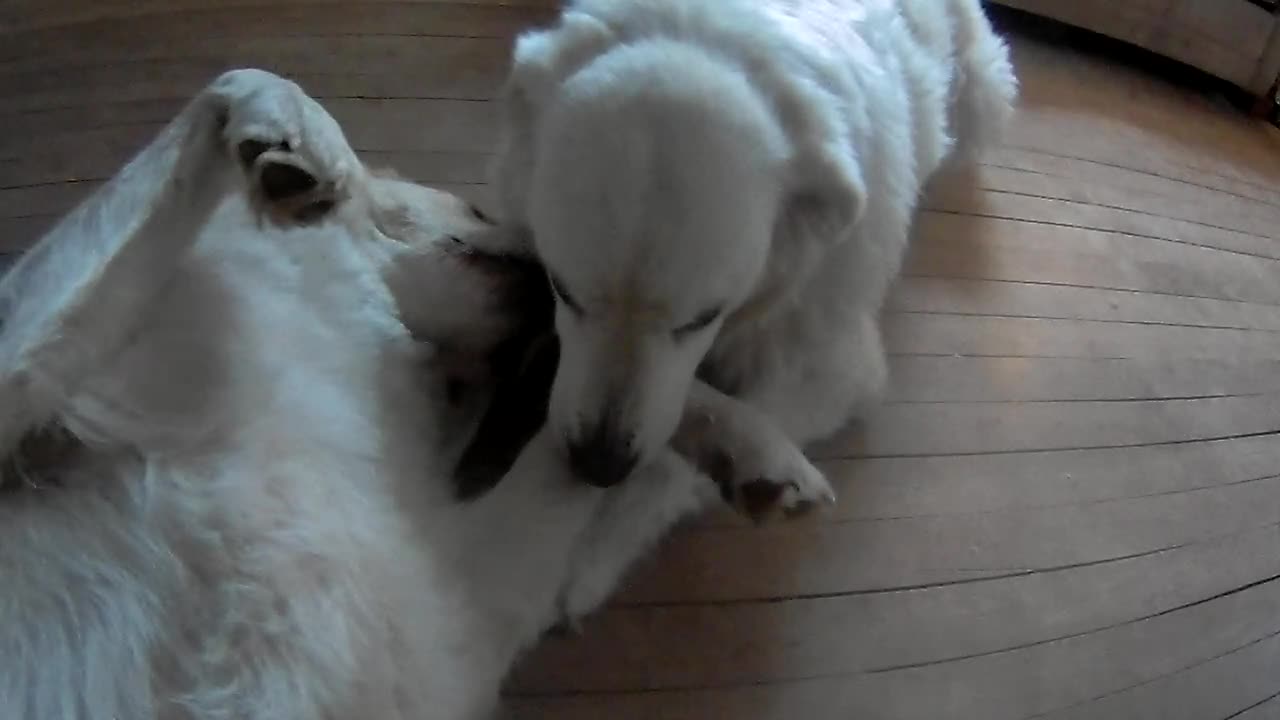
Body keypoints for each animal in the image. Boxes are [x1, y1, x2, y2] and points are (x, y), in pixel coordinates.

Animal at [0, 68, 808, 717]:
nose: (551, 272)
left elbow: (590, 422)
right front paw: (294, 137)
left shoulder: (444, 615)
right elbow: (233, 84)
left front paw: (750, 448)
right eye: (478, 212)